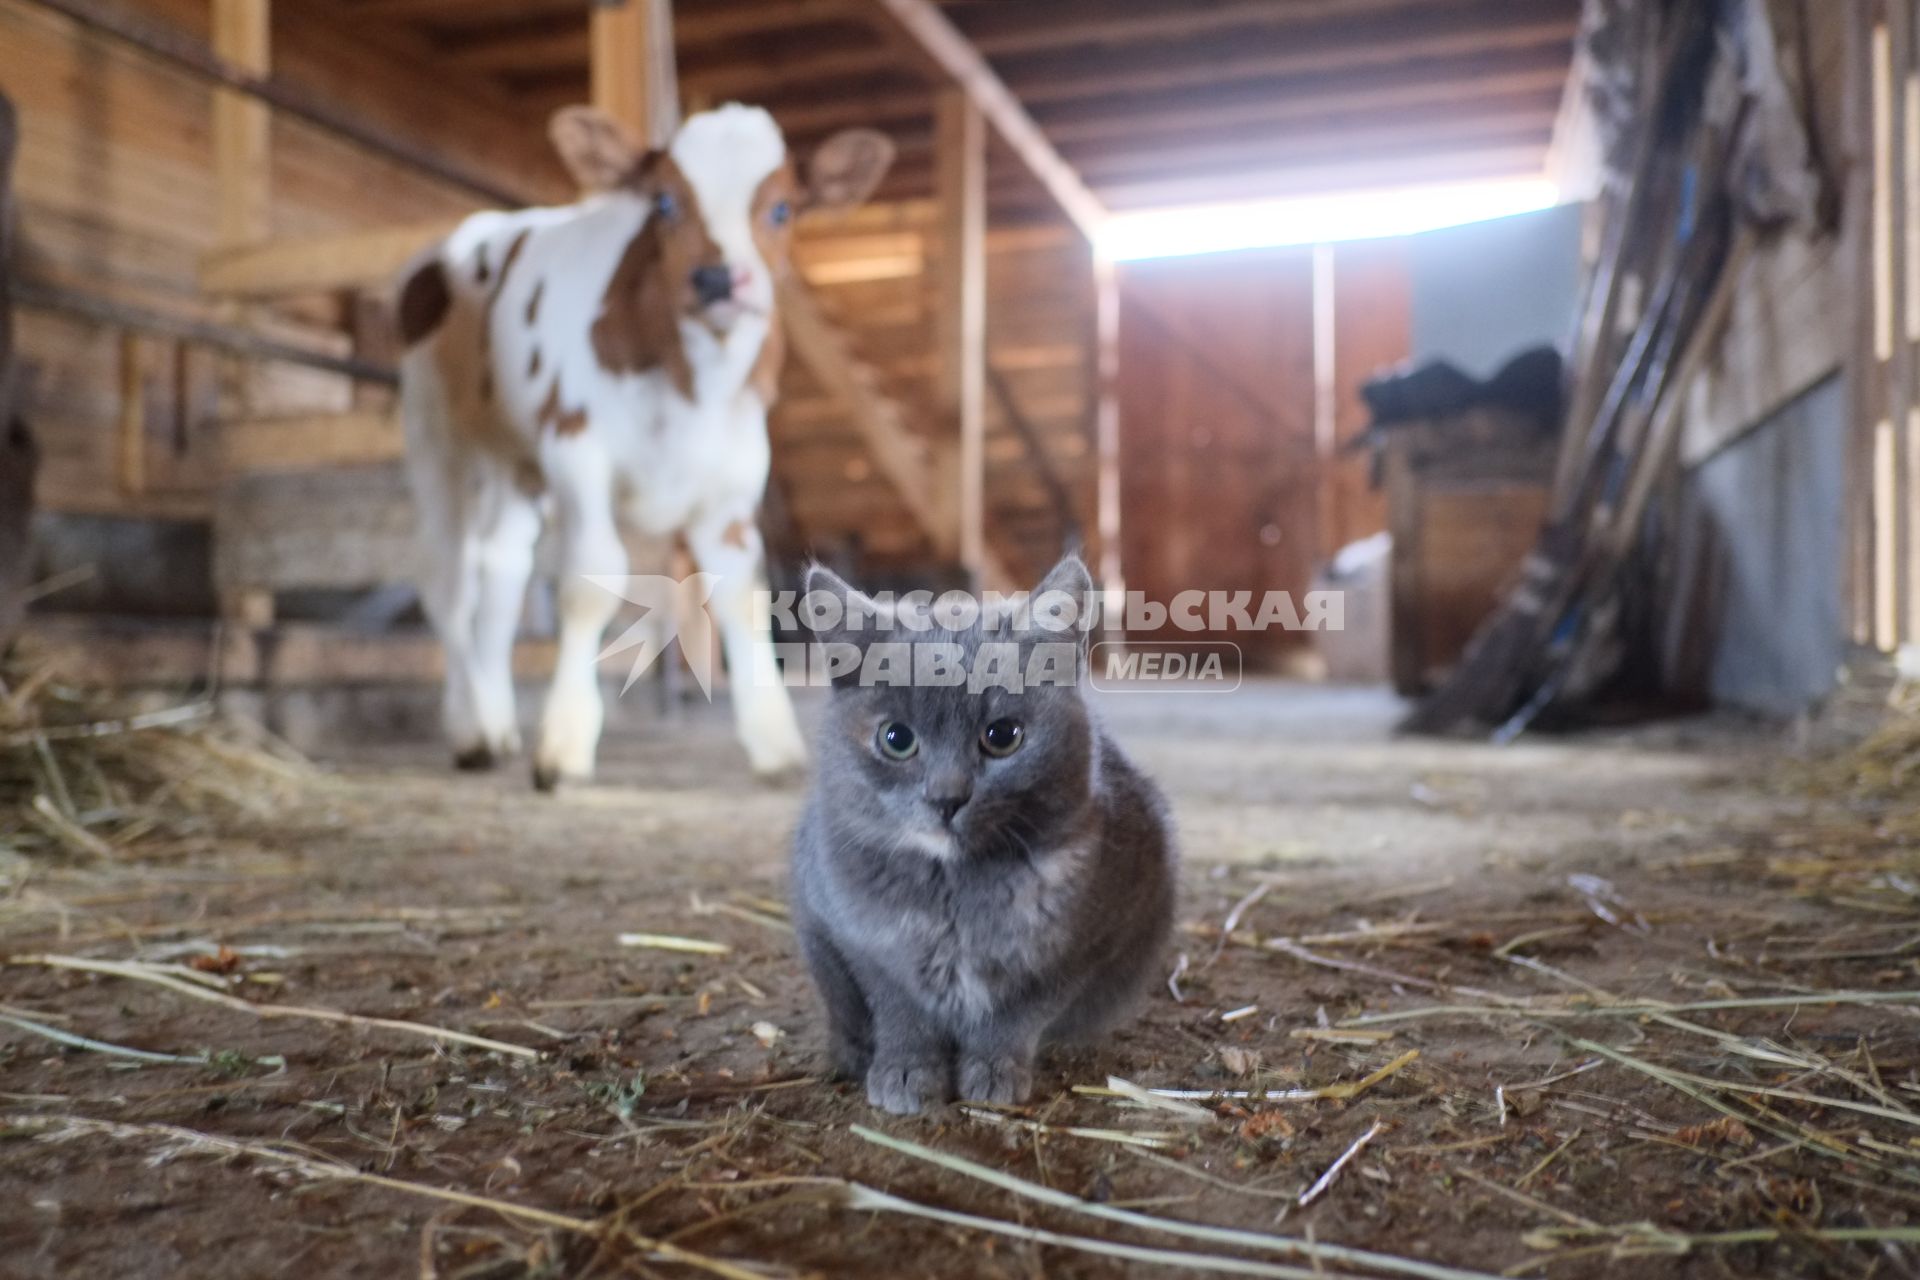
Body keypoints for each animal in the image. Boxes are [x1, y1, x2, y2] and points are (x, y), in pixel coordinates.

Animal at [403, 105, 890, 786]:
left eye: (782, 209)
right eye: (664, 201)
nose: (717, 278)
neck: (693, 385)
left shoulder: (736, 474)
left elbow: (741, 591)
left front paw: (775, 744)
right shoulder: (576, 448)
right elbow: (589, 579)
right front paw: (565, 741)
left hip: (514, 462)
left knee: (502, 567)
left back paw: (497, 724)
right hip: (436, 433)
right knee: (448, 577)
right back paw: (471, 730)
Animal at [787, 556, 1175, 1113]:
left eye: (1002, 735)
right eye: (896, 739)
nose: (947, 797)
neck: (954, 888)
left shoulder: (1086, 943)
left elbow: (1018, 1014)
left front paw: (994, 1069)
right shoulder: (861, 941)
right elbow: (900, 1010)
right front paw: (906, 1070)